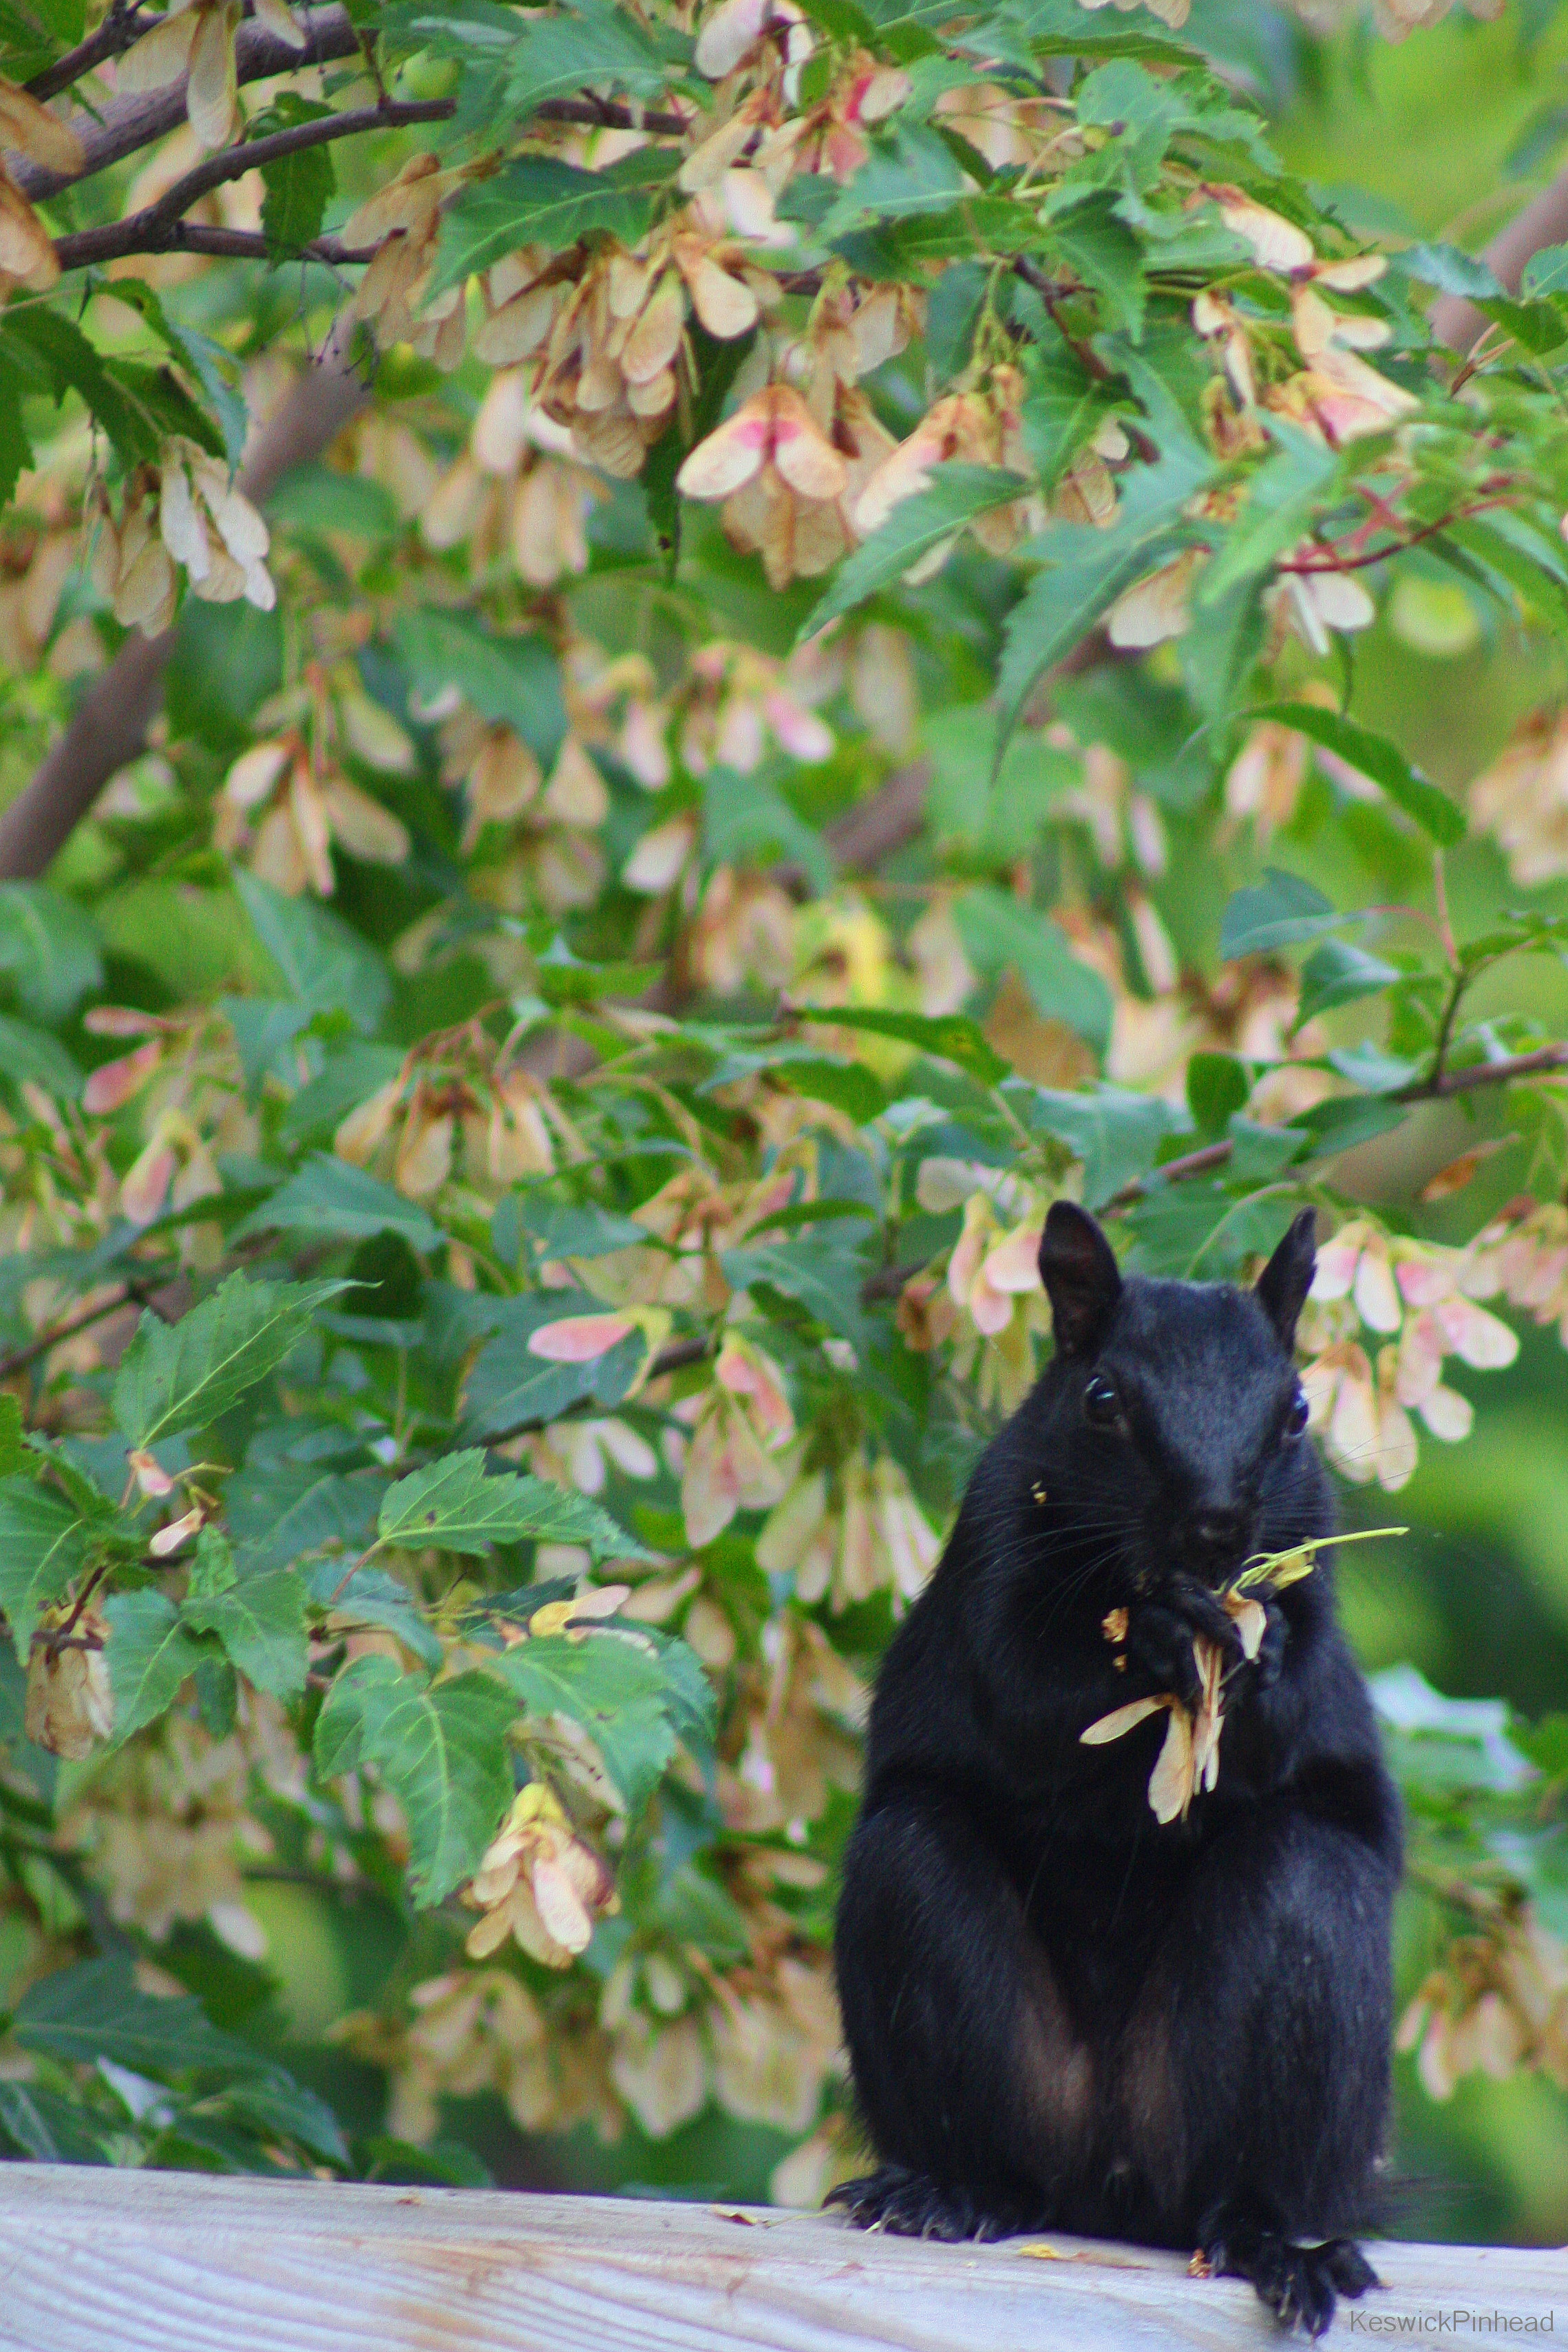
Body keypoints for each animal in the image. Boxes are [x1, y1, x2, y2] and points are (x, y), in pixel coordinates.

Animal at [827, 1204, 1401, 2342]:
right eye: (1100, 1401)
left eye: (1297, 1409)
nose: (1215, 1527)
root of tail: (1114, 2176)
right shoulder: (990, 1543)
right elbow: (1020, 1692)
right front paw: (1157, 1640)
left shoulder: (1311, 1561)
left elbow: (1292, 1703)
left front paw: (1251, 1656)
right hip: (932, 1943)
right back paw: (951, 2190)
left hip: (1286, 2005)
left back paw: (1275, 2242)